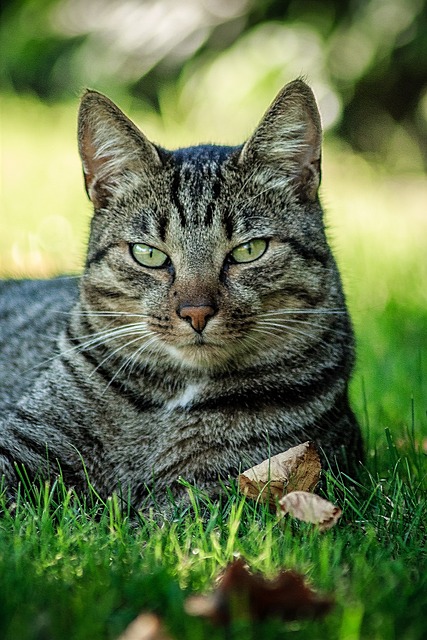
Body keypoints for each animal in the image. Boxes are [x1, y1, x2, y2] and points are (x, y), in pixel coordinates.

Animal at [0, 81, 364, 510]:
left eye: (249, 250)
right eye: (149, 254)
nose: (196, 312)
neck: (175, 395)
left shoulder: (223, 489)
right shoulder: (22, 446)